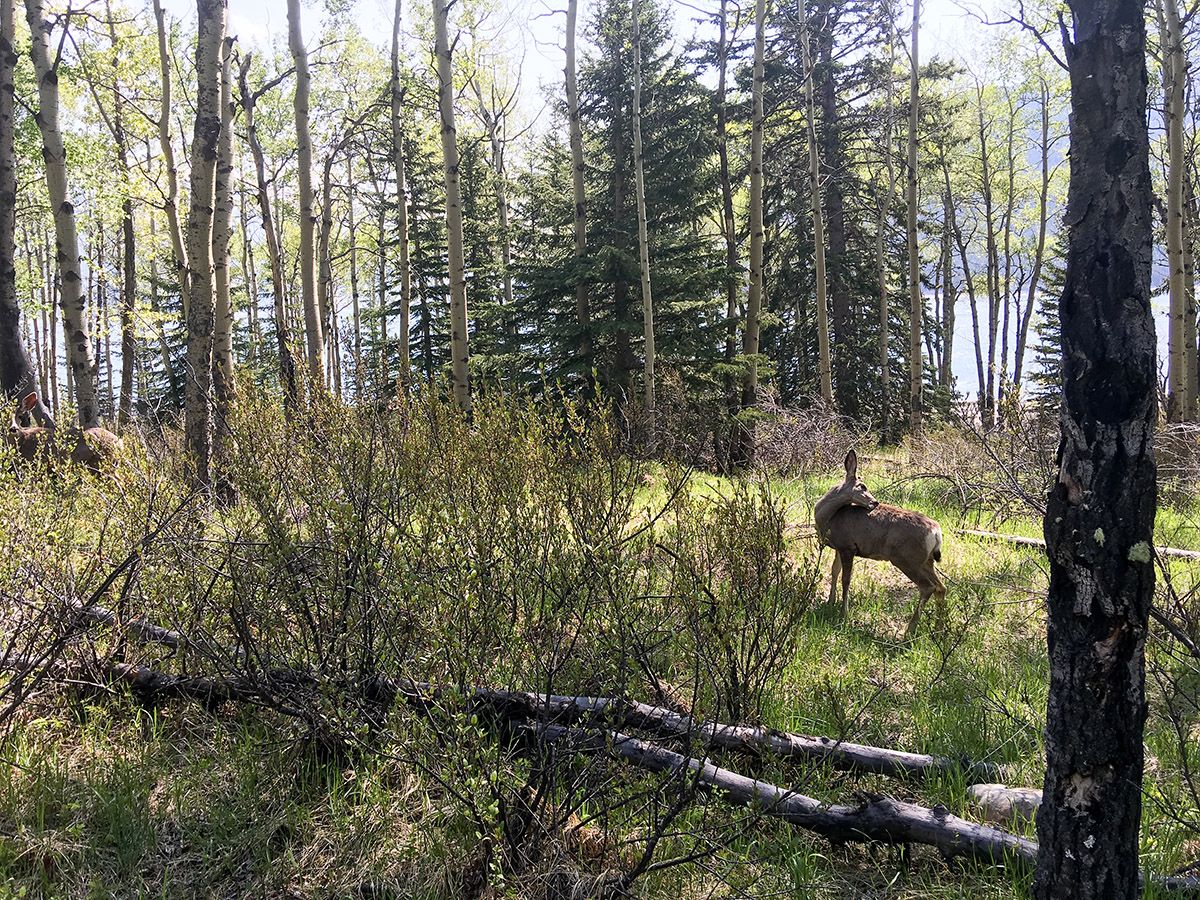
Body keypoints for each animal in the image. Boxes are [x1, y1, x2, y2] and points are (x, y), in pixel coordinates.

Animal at [816, 448, 945, 633]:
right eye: (862, 486)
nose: (875, 502)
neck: (829, 518)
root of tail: (935, 531)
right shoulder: (839, 547)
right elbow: (834, 571)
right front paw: (830, 602)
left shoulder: (848, 547)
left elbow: (846, 580)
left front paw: (843, 614)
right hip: (926, 560)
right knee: (941, 587)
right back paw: (939, 628)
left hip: (906, 558)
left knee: (928, 587)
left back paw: (909, 630)